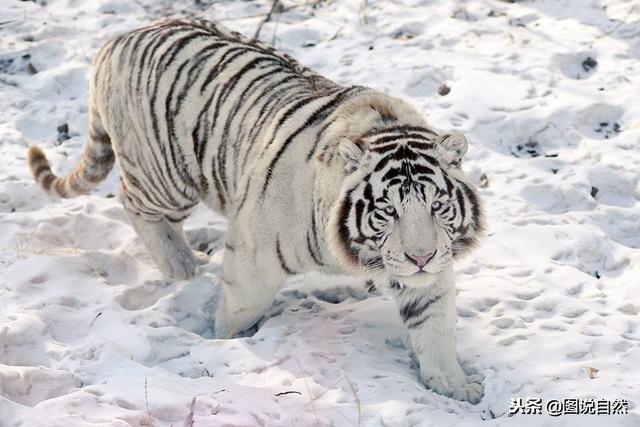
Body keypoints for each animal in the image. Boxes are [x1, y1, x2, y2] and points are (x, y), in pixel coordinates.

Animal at [26, 18, 484, 402]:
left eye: (437, 206)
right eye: (388, 210)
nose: (420, 257)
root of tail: (118, 39)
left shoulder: (430, 271)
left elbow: (434, 325)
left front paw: (454, 385)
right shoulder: (253, 254)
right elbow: (239, 308)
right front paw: (223, 341)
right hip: (166, 175)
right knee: (132, 201)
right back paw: (180, 266)